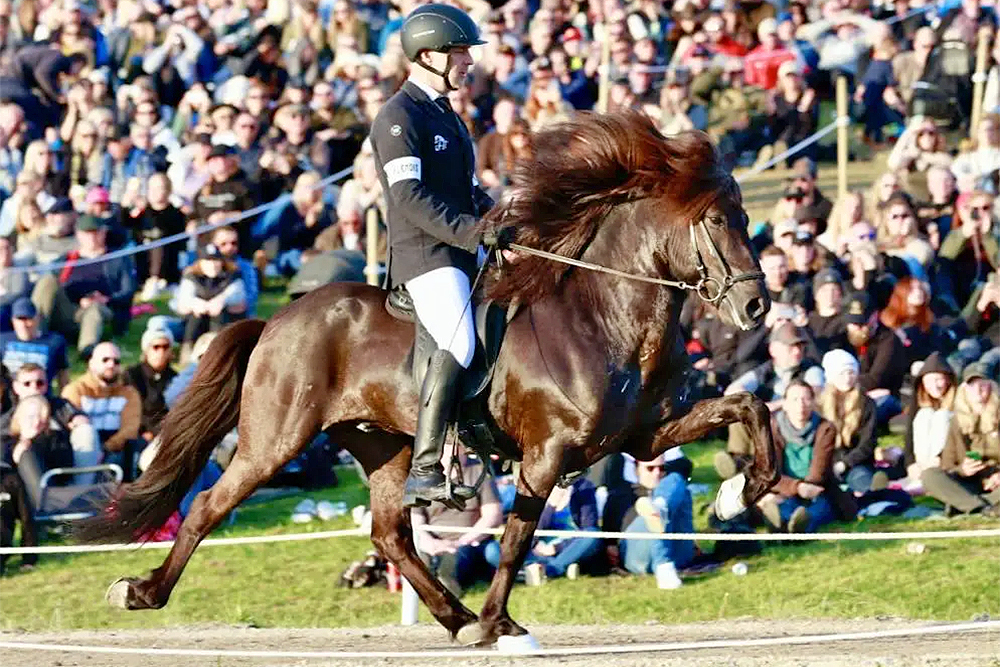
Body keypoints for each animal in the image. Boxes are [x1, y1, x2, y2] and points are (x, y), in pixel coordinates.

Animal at [80, 113, 780, 648]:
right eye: (717, 221)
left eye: (745, 218)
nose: (755, 308)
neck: (600, 317)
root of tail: (279, 318)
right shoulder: (547, 454)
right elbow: (518, 539)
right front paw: (500, 623)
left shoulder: (642, 437)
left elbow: (750, 406)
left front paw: (735, 496)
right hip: (274, 440)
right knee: (208, 505)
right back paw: (140, 592)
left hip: (382, 444)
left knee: (391, 537)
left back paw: (456, 617)